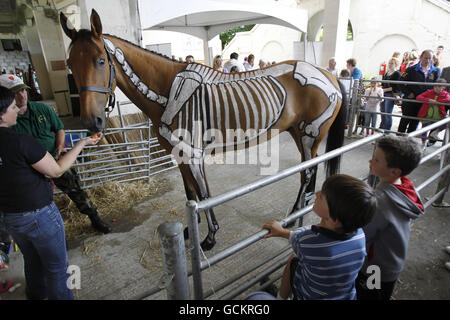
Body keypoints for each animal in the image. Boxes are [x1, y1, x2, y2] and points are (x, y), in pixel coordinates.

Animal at [61, 9, 346, 250]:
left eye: (101, 61)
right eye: (69, 64)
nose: (92, 122)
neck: (167, 91)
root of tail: (328, 75)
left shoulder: (194, 153)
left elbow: (205, 193)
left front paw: (210, 237)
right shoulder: (178, 153)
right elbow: (191, 192)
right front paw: (190, 230)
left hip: (310, 135)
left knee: (308, 172)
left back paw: (294, 214)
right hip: (299, 134)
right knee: (307, 171)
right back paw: (301, 209)